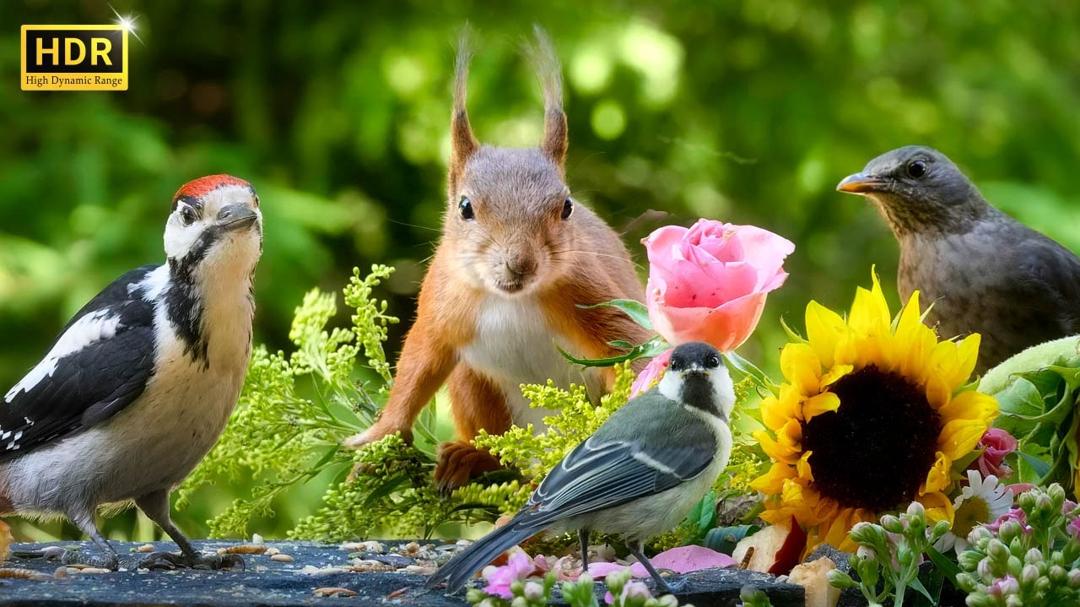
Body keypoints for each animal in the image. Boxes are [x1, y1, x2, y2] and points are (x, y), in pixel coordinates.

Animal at [344, 28, 650, 491]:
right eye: (465, 207)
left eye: (566, 207)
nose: (520, 263)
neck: (510, 299)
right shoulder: (442, 304)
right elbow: (417, 366)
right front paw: (379, 440)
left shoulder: (589, 293)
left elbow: (633, 351)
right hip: (475, 386)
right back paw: (473, 458)